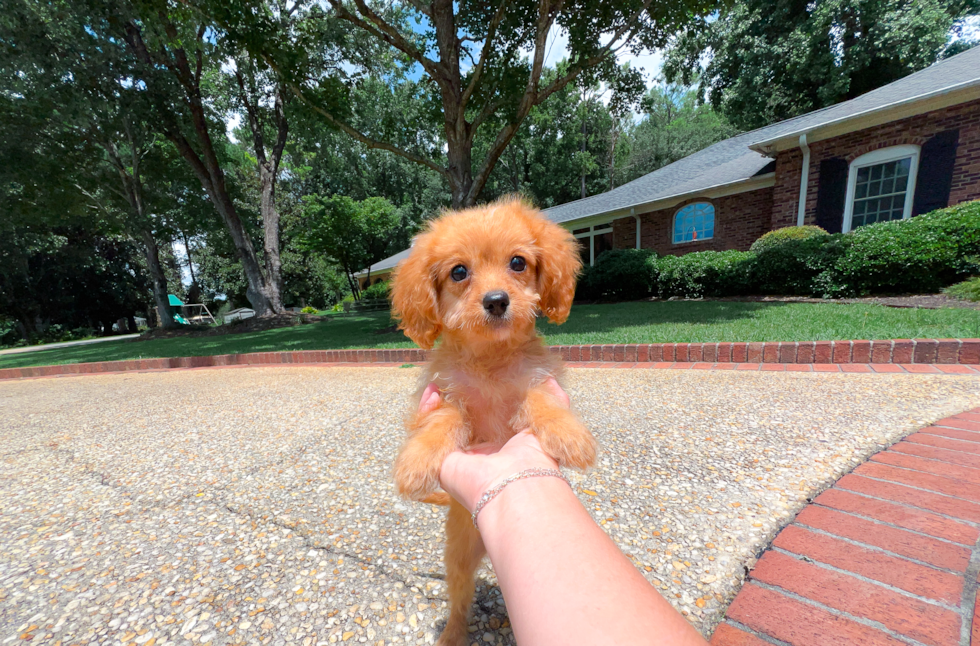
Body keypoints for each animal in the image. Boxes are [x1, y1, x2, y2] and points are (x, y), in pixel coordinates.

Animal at [390, 197, 596, 646]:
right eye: (459, 272)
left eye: (517, 262)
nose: (497, 300)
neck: (490, 358)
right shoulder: (443, 395)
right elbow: (445, 419)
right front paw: (417, 460)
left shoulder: (536, 381)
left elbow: (538, 400)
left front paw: (568, 433)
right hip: (458, 559)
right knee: (459, 601)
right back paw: (452, 634)